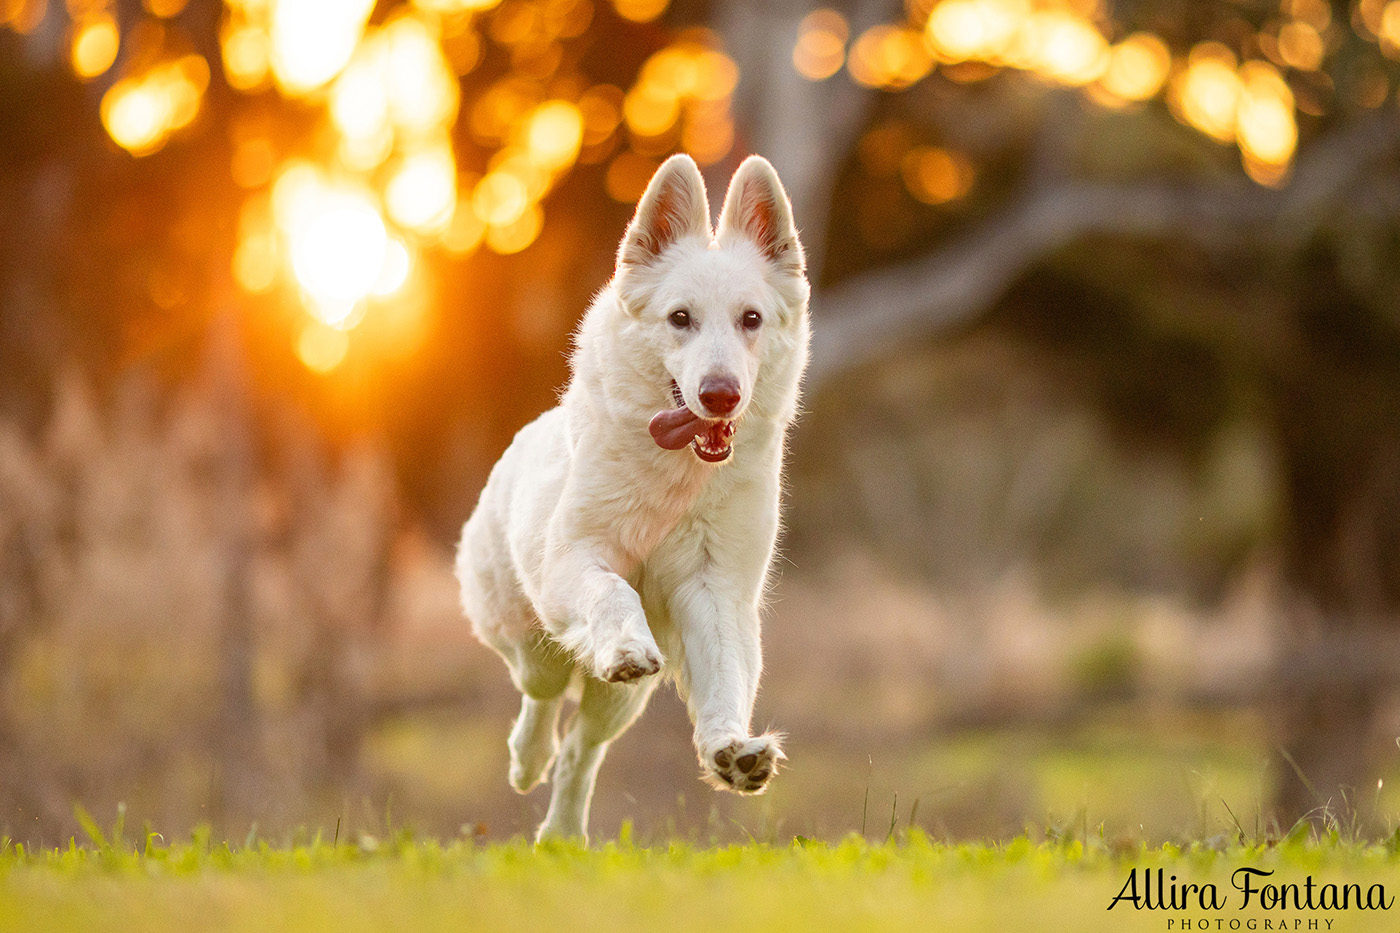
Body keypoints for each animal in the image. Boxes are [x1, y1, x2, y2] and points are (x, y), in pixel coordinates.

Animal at [456, 154, 812, 840]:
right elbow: (613, 592)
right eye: (680, 319)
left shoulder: (716, 589)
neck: (676, 474)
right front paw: (623, 644)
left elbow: (725, 677)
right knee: (543, 696)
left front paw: (731, 750)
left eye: (751, 320)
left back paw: (562, 834)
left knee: (580, 749)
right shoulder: (576, 561)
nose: (721, 395)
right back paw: (526, 759)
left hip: (619, 704)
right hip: (532, 636)